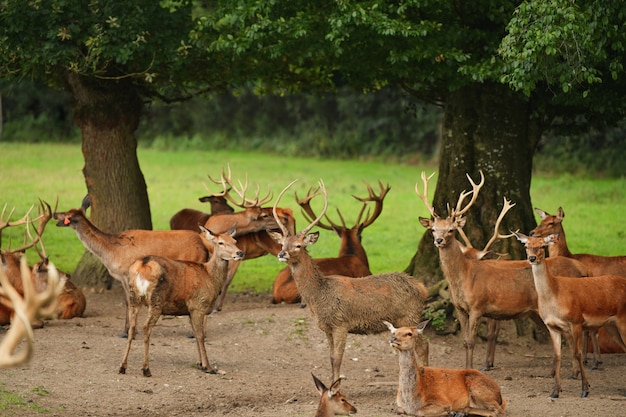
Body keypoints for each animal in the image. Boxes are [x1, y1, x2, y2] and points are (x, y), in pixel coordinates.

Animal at [118, 224, 243, 376]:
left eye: (235, 241)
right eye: (220, 242)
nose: (239, 253)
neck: (210, 278)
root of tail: (142, 265)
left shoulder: (189, 310)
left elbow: (195, 334)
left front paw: (199, 363)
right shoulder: (198, 304)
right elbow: (200, 335)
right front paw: (208, 367)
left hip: (134, 298)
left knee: (132, 328)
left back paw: (122, 366)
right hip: (156, 300)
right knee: (146, 327)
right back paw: (146, 369)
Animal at [266, 178, 426, 380]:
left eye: (298, 245)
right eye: (282, 243)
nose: (281, 254)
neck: (319, 296)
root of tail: (422, 287)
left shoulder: (341, 323)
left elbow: (337, 359)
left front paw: (335, 386)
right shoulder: (326, 328)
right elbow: (330, 358)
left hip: (410, 315)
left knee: (423, 346)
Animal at [510, 232, 624, 398]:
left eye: (543, 245)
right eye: (526, 245)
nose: (532, 258)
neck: (554, 296)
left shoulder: (576, 321)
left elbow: (577, 353)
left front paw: (585, 389)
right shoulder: (552, 326)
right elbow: (557, 356)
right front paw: (555, 391)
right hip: (612, 325)